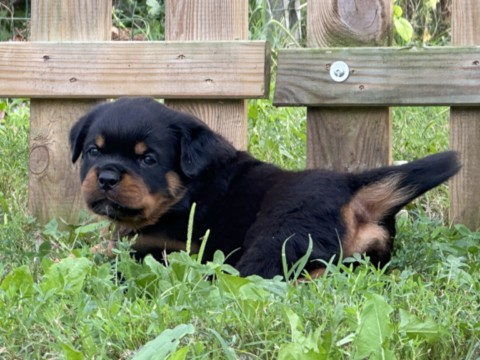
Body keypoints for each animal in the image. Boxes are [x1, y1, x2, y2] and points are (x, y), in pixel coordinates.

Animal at [69, 97, 460, 280]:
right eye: (93, 151)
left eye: (148, 159)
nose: (106, 177)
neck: (187, 193)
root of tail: (351, 189)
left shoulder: (175, 247)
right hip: (366, 255)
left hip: (278, 239)